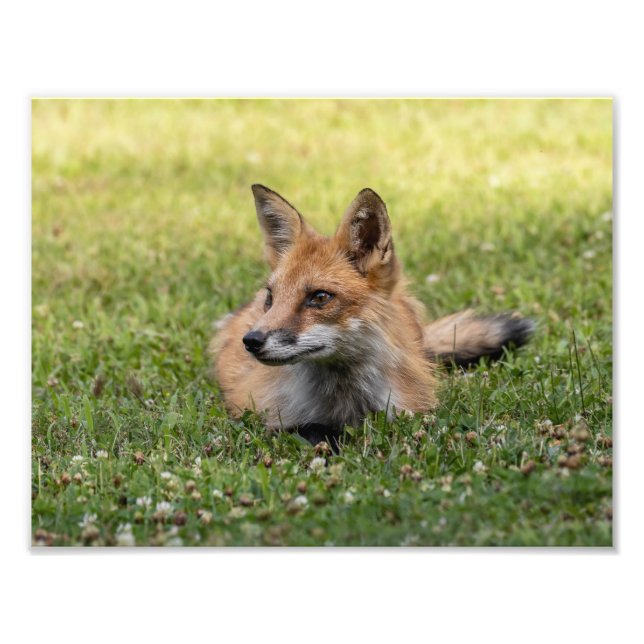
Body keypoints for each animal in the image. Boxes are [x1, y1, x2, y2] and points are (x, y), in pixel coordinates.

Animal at [211, 185, 534, 446]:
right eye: (271, 298)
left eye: (320, 297)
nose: (251, 341)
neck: (347, 402)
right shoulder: (266, 413)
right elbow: (312, 432)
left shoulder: (411, 411)